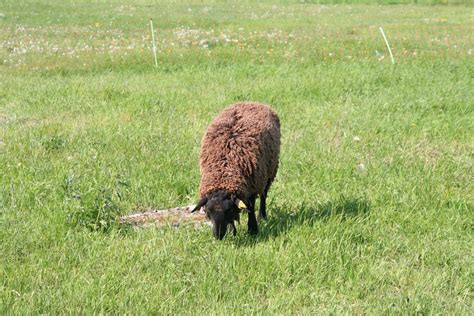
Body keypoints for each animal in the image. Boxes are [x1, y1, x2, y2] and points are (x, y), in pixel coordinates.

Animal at [191, 102, 280, 238]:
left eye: (228, 210)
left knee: (264, 195)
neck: (224, 170)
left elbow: (250, 207)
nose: (218, 236)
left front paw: (252, 230)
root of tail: (251, 102)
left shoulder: (252, 186)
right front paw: (232, 231)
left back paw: (262, 216)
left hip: (269, 171)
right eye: (208, 211)